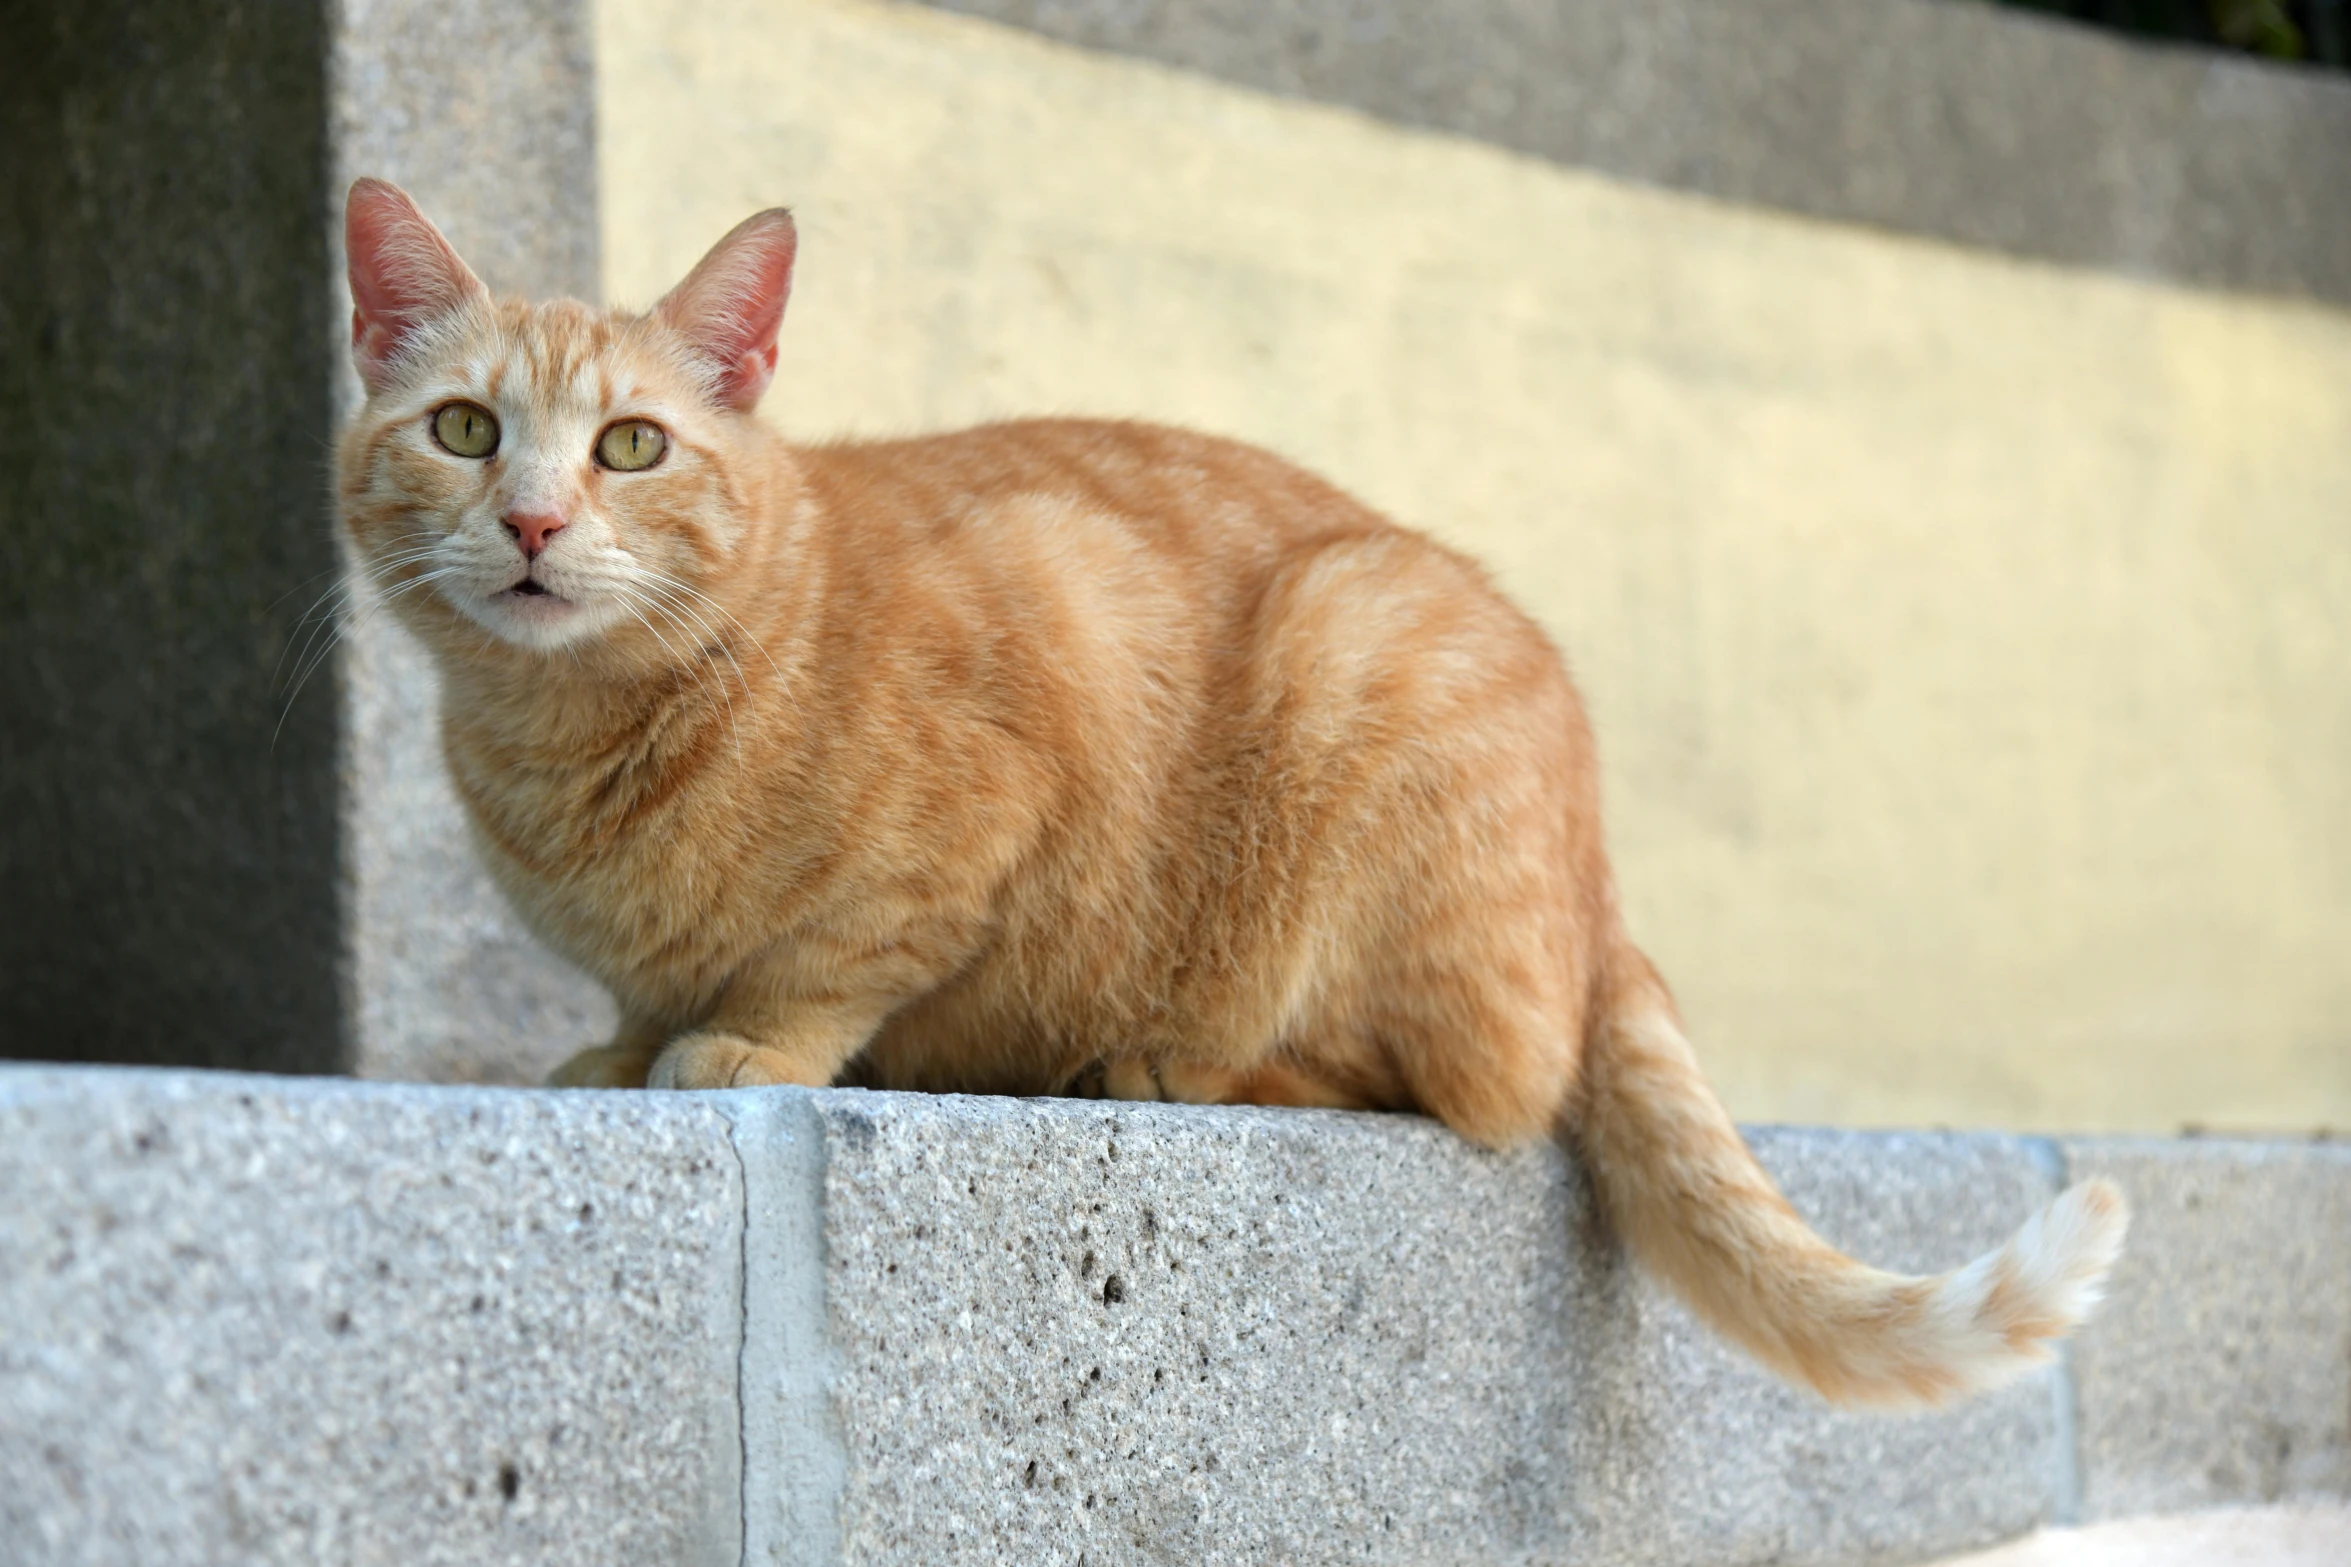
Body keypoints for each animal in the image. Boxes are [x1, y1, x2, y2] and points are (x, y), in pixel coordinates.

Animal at [340, 180, 2125, 1409]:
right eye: (464, 428)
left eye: (630, 446)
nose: (532, 522)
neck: (572, 736)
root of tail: (1601, 879)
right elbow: (647, 991)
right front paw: (623, 1041)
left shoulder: (1009, 734)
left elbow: (824, 964)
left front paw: (740, 1043)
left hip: (1351, 659)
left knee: (1470, 1086)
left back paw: (1163, 1063)